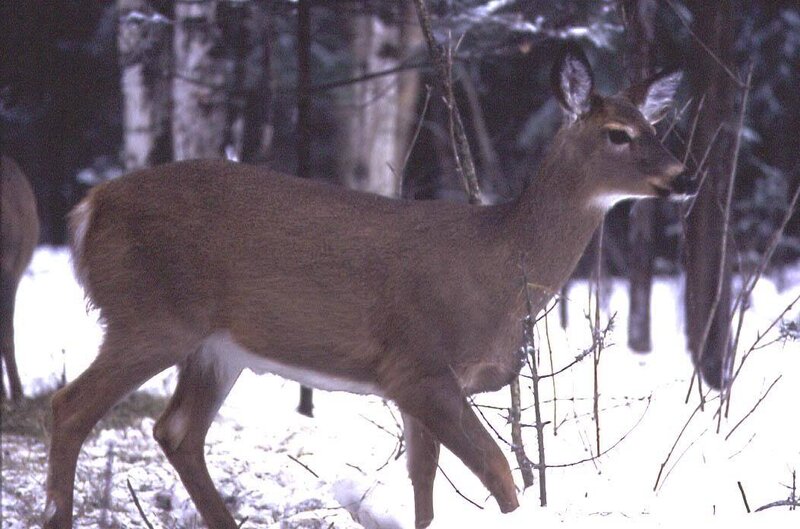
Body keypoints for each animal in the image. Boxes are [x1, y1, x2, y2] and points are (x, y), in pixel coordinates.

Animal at [44, 43, 689, 529]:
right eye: (618, 134)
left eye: (654, 126)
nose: (681, 176)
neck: (500, 263)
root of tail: (89, 208)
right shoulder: (419, 365)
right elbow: (499, 472)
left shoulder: (418, 383)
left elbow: (425, 486)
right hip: (149, 315)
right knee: (70, 406)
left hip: (216, 347)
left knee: (176, 431)